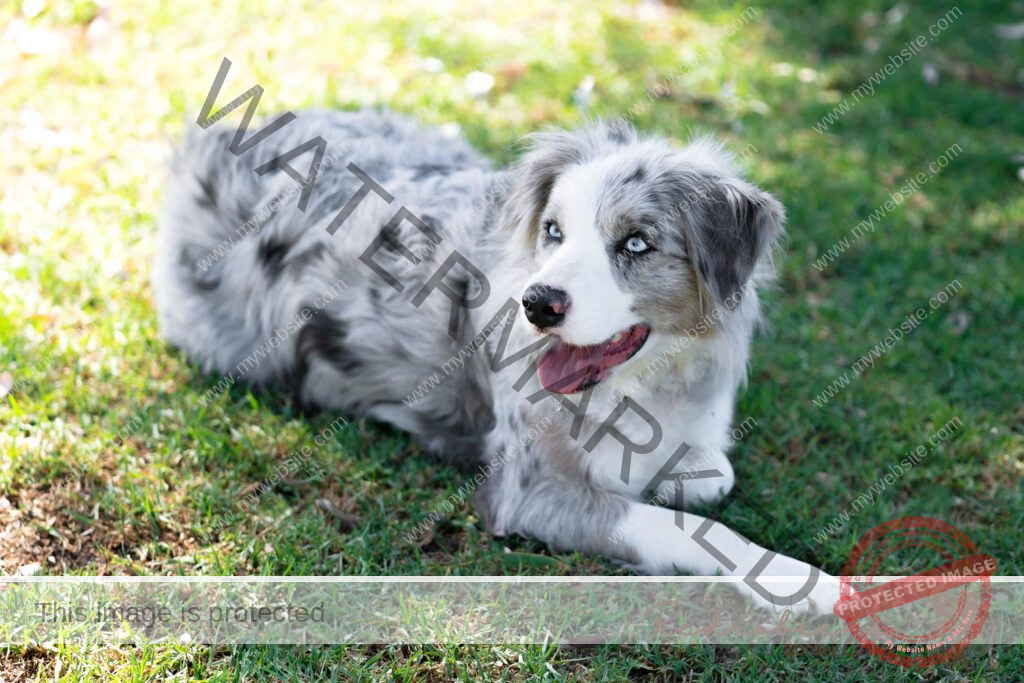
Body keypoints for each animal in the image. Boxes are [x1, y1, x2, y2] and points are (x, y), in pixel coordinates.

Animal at [153, 111, 839, 614]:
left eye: (637, 243)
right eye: (553, 231)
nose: (537, 303)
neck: (643, 382)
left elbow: (712, 474)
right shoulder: (528, 493)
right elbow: (683, 526)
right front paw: (806, 581)